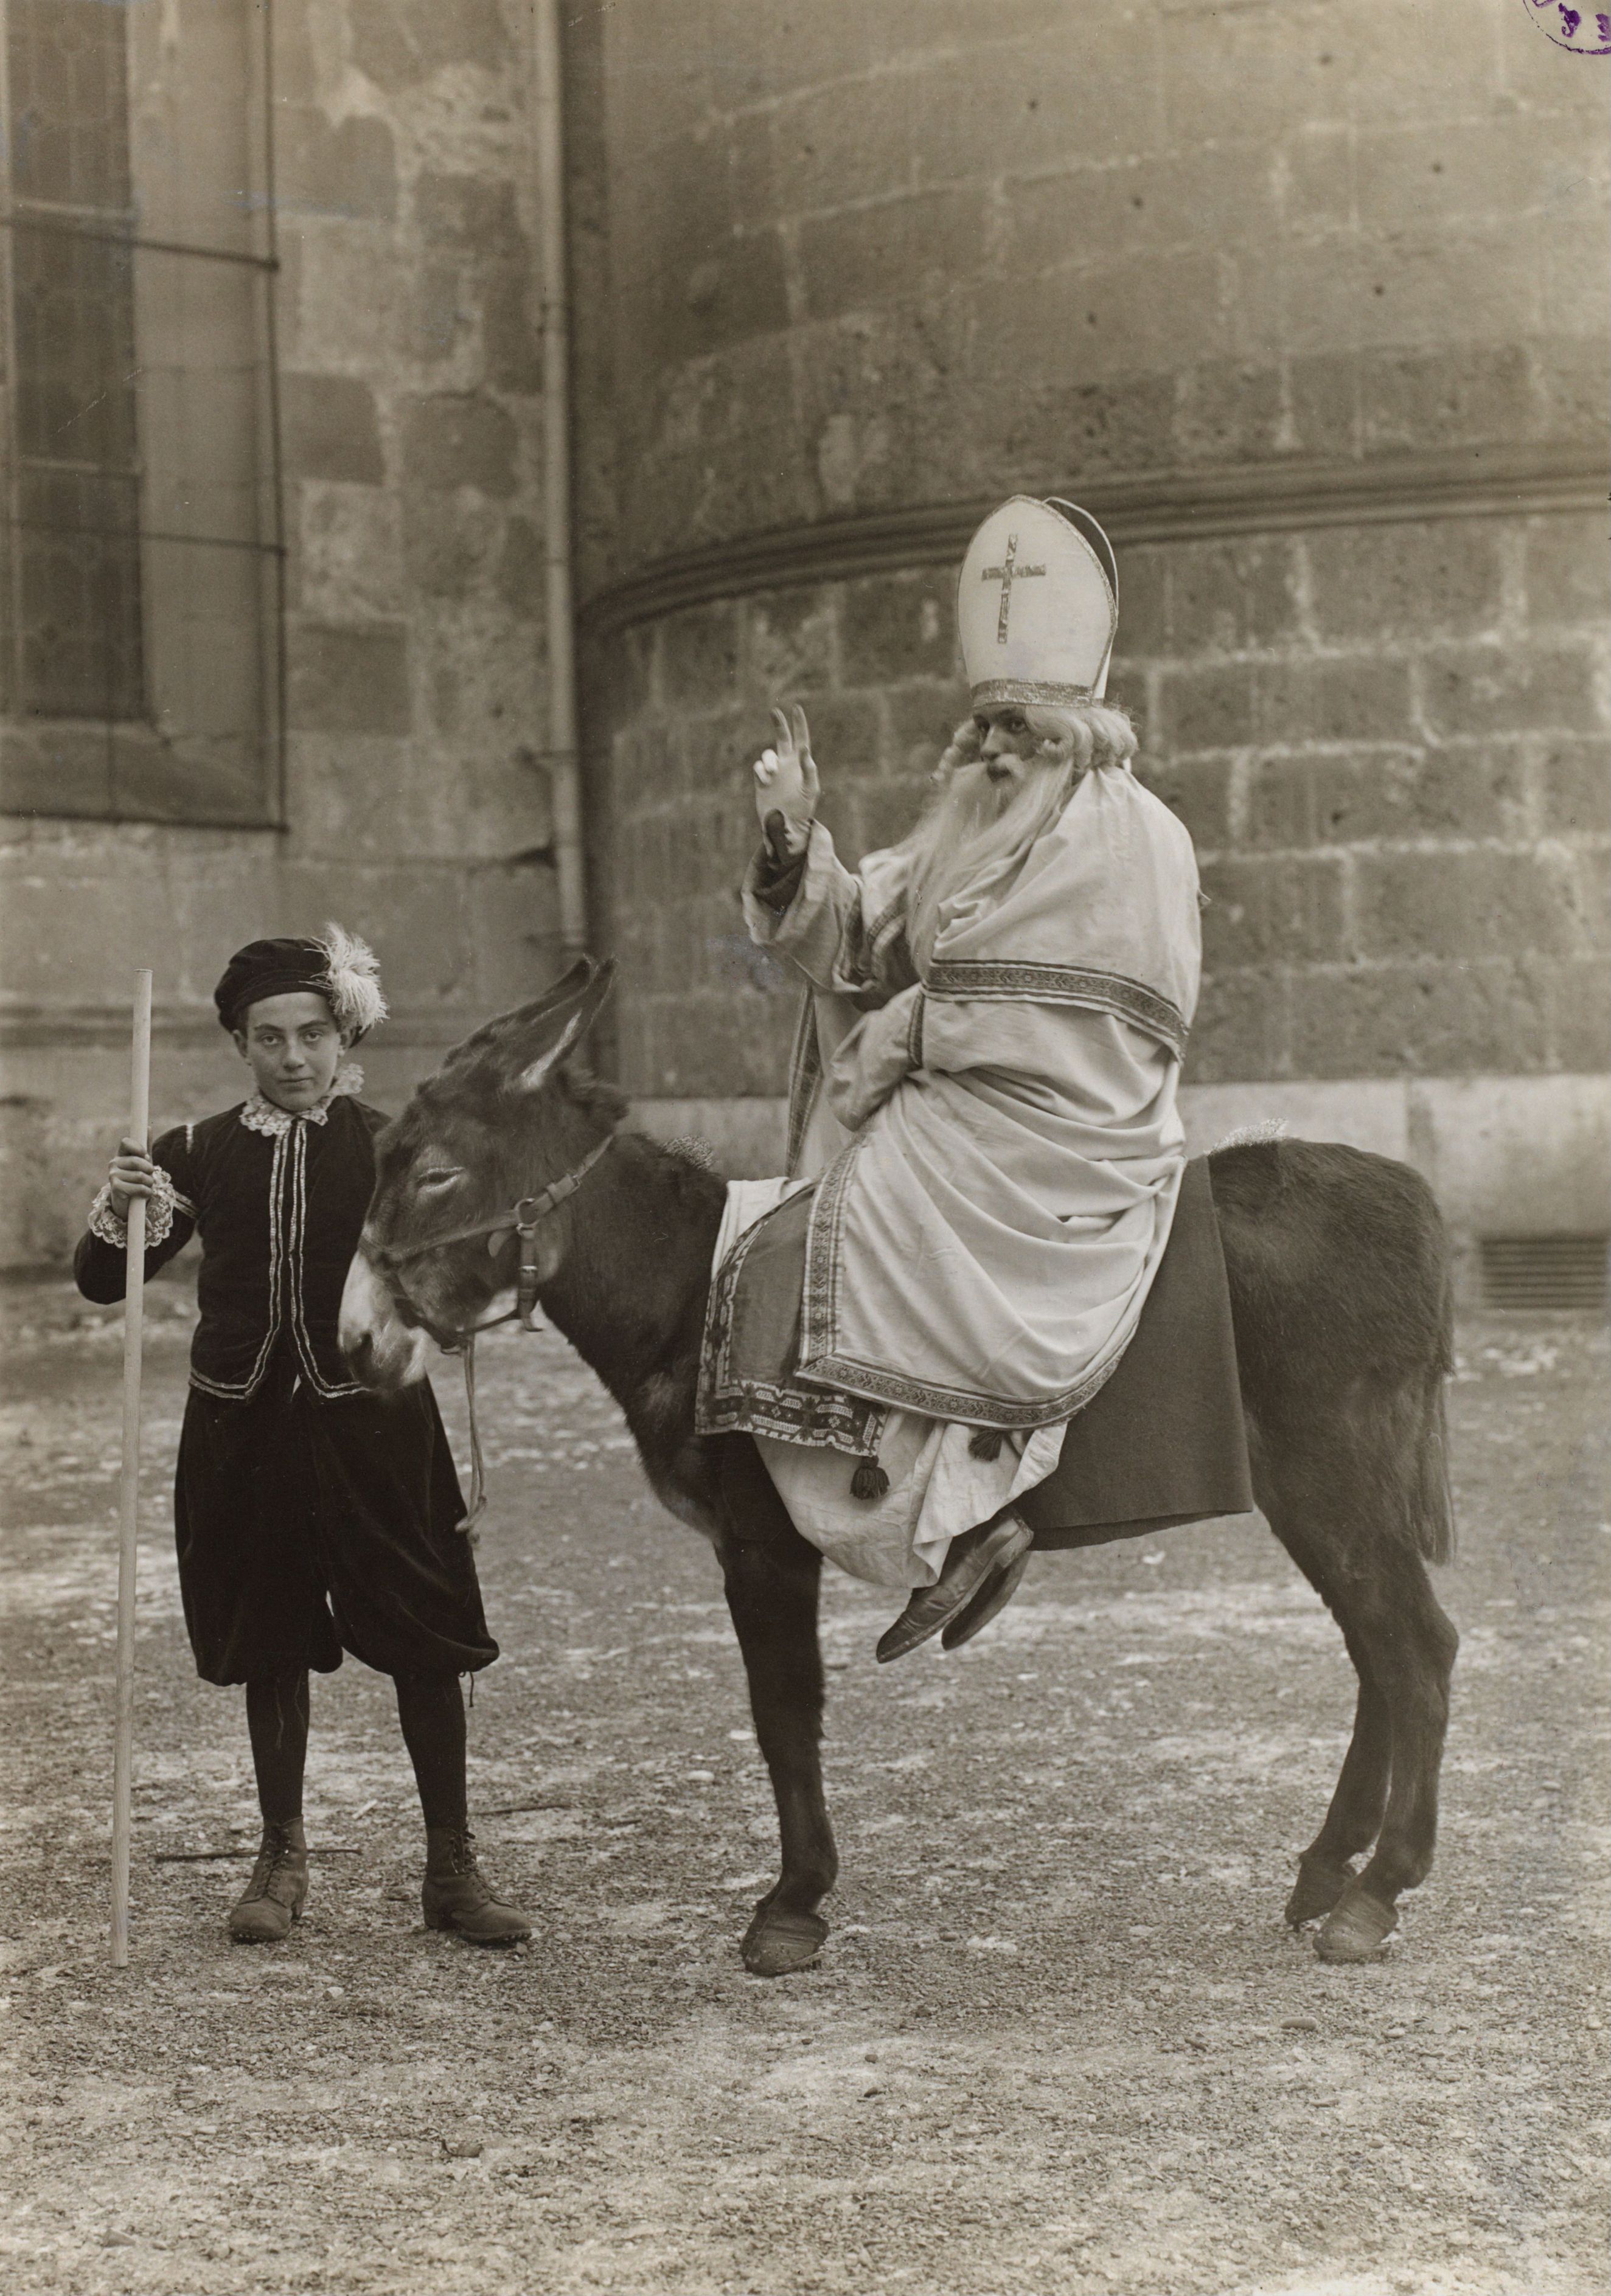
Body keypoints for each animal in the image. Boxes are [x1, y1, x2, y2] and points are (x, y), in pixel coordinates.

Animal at [340, 957, 1458, 1978]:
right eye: (382, 1161)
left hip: (1332, 1473)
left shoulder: (762, 1544)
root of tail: (1411, 1196)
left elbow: (783, 1712)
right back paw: (1324, 1872)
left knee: (1416, 1651)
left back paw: (1375, 1892)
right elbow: (786, 1711)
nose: (355, 1340)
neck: (692, 1288)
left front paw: (792, 1905)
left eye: (435, 1173)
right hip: (1314, 1489)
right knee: (1377, 1656)